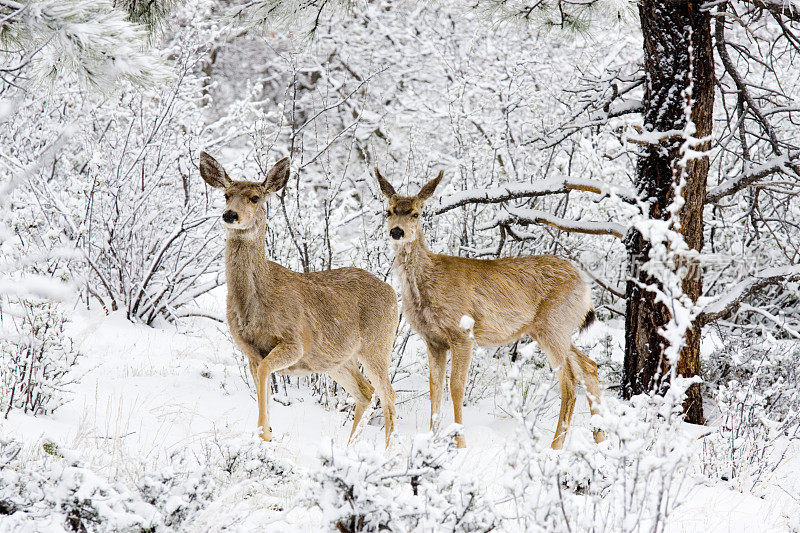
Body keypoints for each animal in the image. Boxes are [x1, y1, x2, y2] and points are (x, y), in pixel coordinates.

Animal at [198, 152, 398, 446]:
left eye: (255, 197)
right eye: (226, 194)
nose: (230, 214)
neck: (255, 303)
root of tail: (394, 293)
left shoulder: (295, 342)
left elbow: (265, 373)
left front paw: (264, 434)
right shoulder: (249, 351)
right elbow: (262, 382)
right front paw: (267, 434)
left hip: (377, 345)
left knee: (388, 394)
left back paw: (386, 451)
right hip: (337, 359)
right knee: (365, 391)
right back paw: (348, 447)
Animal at [376, 167, 608, 448]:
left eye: (416, 213)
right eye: (388, 211)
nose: (396, 232)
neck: (428, 283)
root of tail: (585, 287)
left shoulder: (462, 333)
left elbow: (456, 388)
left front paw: (460, 444)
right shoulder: (433, 340)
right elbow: (434, 388)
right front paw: (431, 441)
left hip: (554, 324)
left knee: (570, 380)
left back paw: (554, 447)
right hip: (553, 328)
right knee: (589, 367)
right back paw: (601, 438)